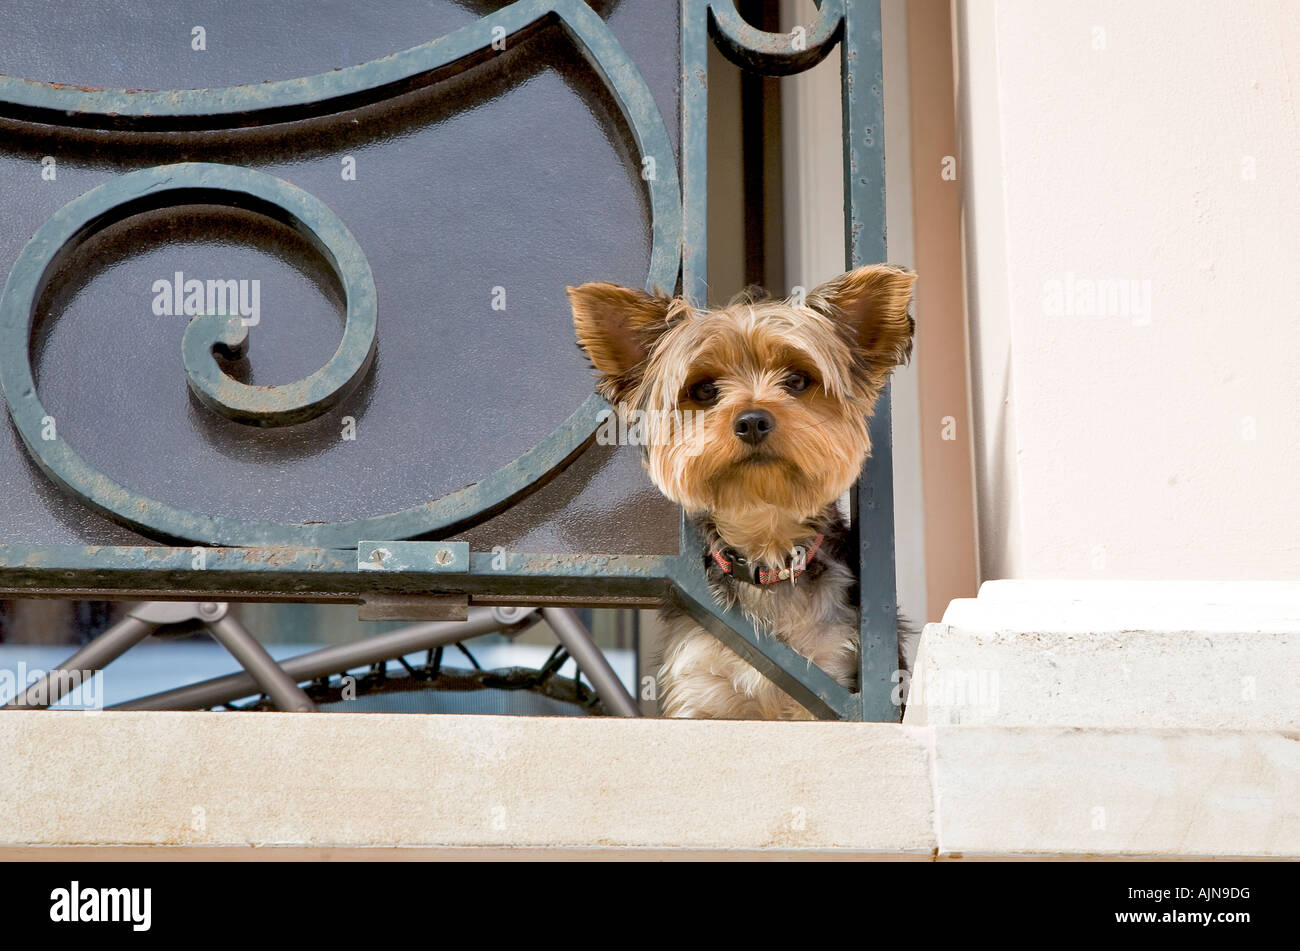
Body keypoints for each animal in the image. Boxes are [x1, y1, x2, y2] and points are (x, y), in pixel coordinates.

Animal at [566, 263, 915, 717]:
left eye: (797, 380)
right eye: (704, 390)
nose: (752, 420)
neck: (765, 547)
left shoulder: (833, 672)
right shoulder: (698, 688)